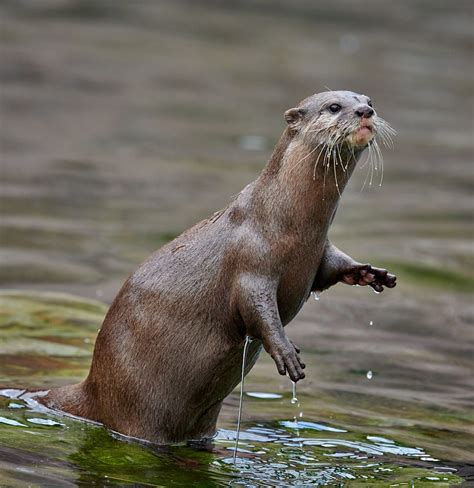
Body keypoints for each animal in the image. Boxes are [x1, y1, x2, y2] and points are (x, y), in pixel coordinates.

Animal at [39, 91, 396, 446]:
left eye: (368, 100)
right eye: (334, 107)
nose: (365, 112)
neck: (289, 223)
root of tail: (93, 387)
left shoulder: (319, 253)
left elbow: (332, 269)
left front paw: (370, 273)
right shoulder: (252, 263)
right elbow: (258, 311)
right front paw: (286, 352)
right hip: (136, 408)